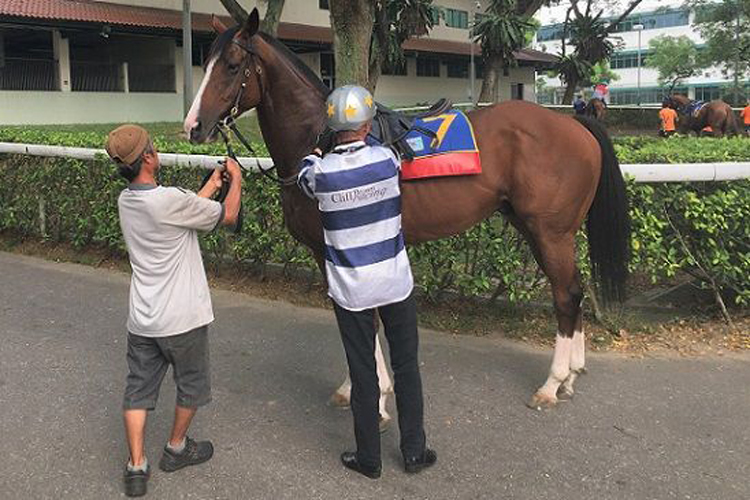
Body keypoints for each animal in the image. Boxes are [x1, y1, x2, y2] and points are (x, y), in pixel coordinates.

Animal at [185, 7, 632, 416]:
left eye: (231, 65)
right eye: (204, 64)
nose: (193, 126)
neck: (323, 143)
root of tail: (574, 124)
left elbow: (362, 314)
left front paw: (377, 395)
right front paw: (353, 386)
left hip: (549, 232)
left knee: (565, 294)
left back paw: (552, 383)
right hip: (540, 229)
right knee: (573, 289)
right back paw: (571, 375)